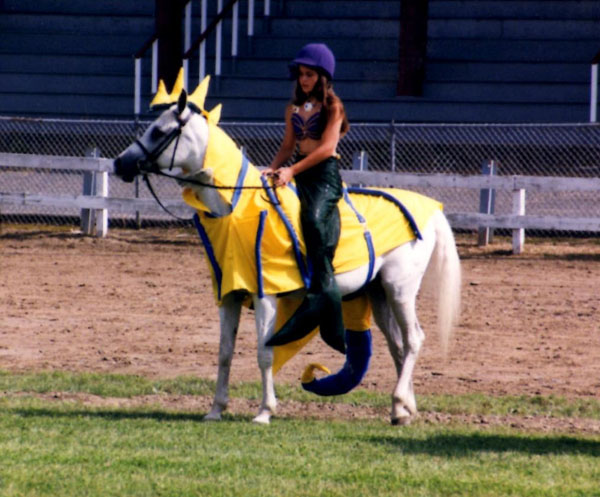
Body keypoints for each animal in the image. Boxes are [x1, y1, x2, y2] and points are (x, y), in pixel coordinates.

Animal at [116, 88, 464, 422]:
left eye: (159, 131)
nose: (120, 164)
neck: (238, 209)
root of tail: (432, 208)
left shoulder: (265, 296)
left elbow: (264, 353)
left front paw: (264, 411)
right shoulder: (229, 295)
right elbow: (225, 352)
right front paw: (216, 410)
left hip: (399, 290)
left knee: (414, 339)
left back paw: (399, 404)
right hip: (378, 294)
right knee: (398, 346)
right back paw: (402, 409)